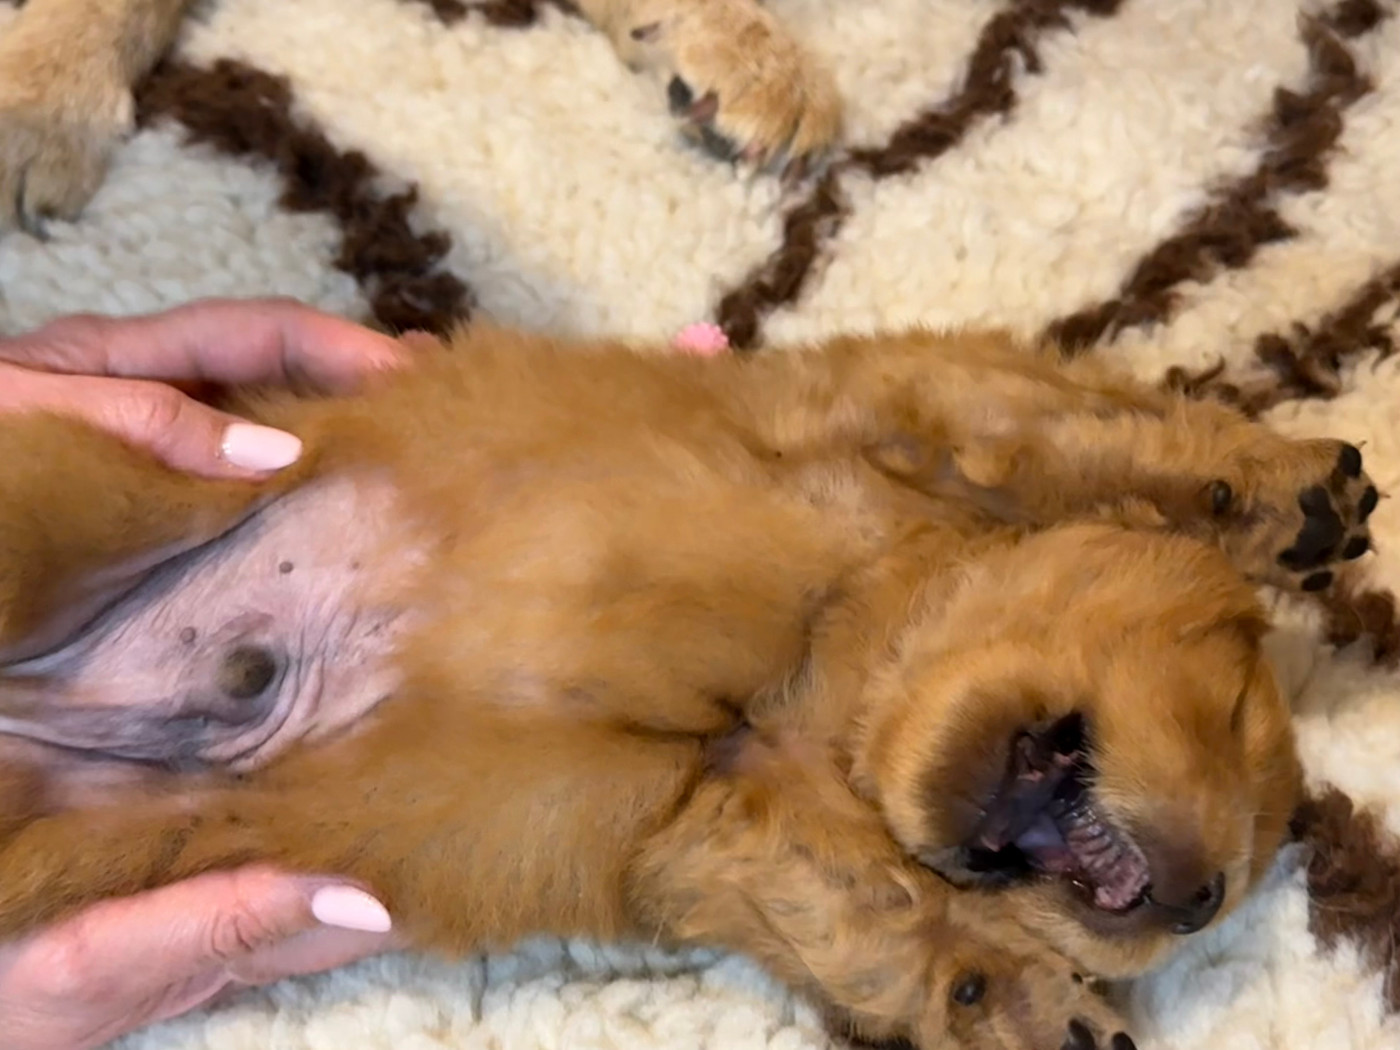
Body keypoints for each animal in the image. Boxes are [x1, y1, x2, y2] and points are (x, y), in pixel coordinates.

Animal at [0, 322, 1377, 1048]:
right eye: (1238, 705)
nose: (1196, 904)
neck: (848, 629)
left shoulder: (710, 808)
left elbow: (887, 914)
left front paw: (1021, 1003)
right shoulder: (902, 403)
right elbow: (1093, 433)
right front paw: (1288, 495)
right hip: (72, 504)